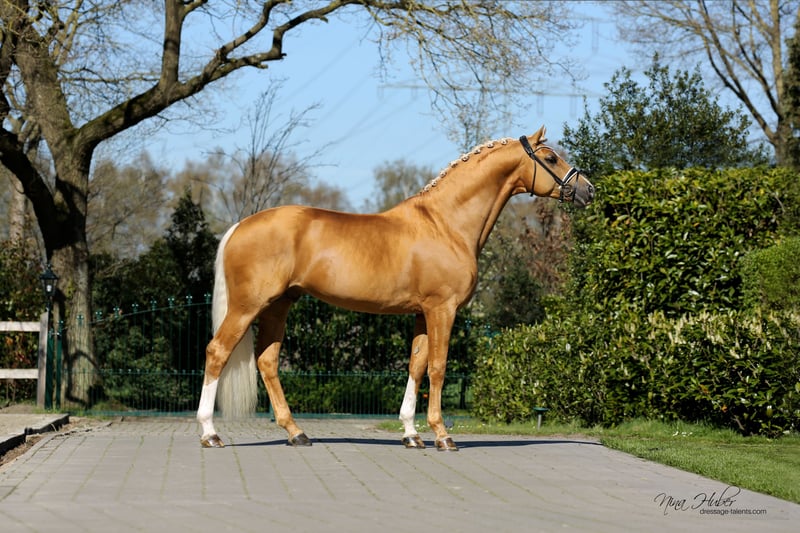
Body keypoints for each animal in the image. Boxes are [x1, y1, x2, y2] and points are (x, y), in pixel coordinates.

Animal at [196, 126, 594, 451]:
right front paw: (442, 436)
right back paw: (210, 433)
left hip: (280, 304)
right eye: (550, 158)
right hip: (248, 306)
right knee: (217, 352)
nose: (588, 190)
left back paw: (296, 433)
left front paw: (411, 434)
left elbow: (416, 366)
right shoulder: (442, 309)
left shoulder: (422, 312)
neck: (446, 224)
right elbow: (438, 367)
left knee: (267, 361)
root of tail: (240, 226)